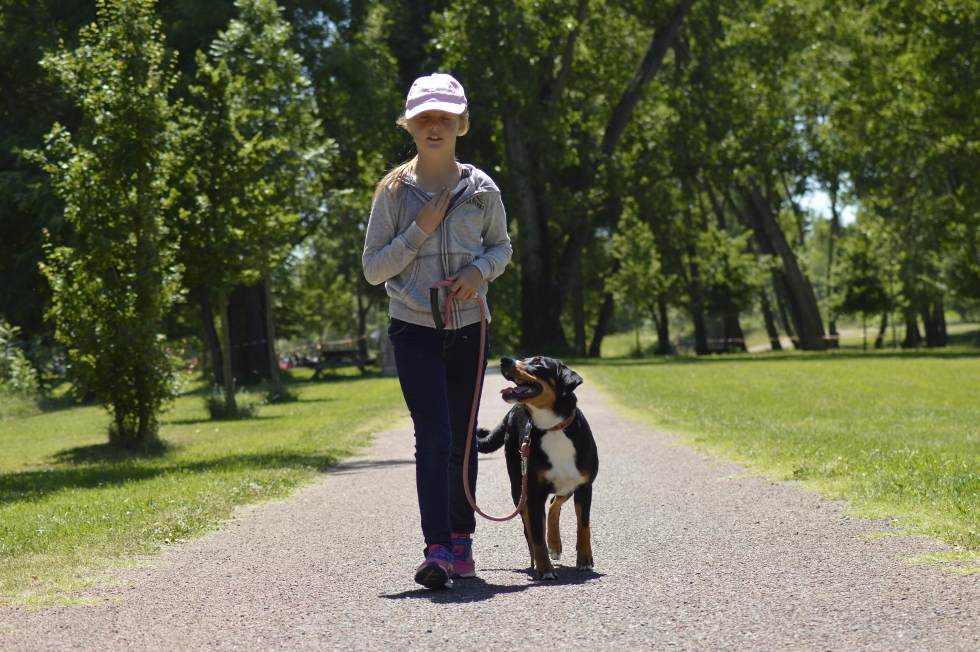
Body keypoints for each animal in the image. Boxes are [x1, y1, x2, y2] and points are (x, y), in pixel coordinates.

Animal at [476, 356, 596, 580]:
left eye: (538, 363)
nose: (505, 360)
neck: (553, 428)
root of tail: (512, 411)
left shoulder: (584, 487)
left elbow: (583, 527)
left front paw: (585, 560)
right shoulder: (533, 493)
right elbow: (537, 535)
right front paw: (545, 569)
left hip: (567, 486)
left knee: (553, 505)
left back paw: (555, 544)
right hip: (519, 488)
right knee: (530, 529)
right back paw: (537, 560)